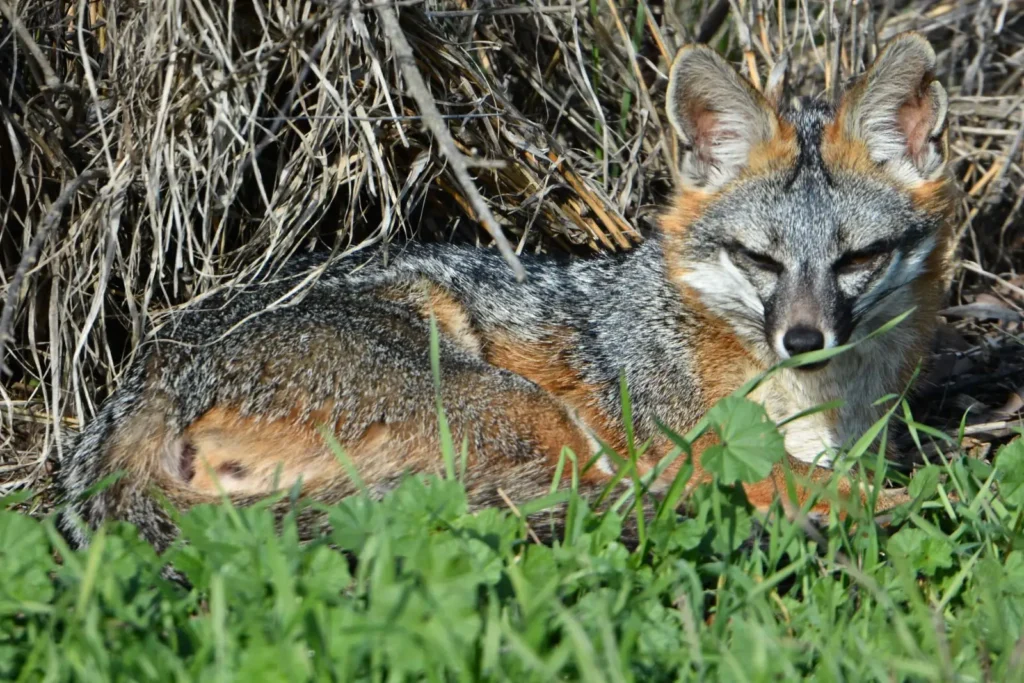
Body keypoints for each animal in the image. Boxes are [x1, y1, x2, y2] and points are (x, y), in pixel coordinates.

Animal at [55, 32, 957, 554]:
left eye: (858, 257)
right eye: (758, 260)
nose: (803, 340)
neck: (814, 402)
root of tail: (150, 370)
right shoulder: (697, 443)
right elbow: (813, 479)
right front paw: (902, 499)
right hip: (531, 413)